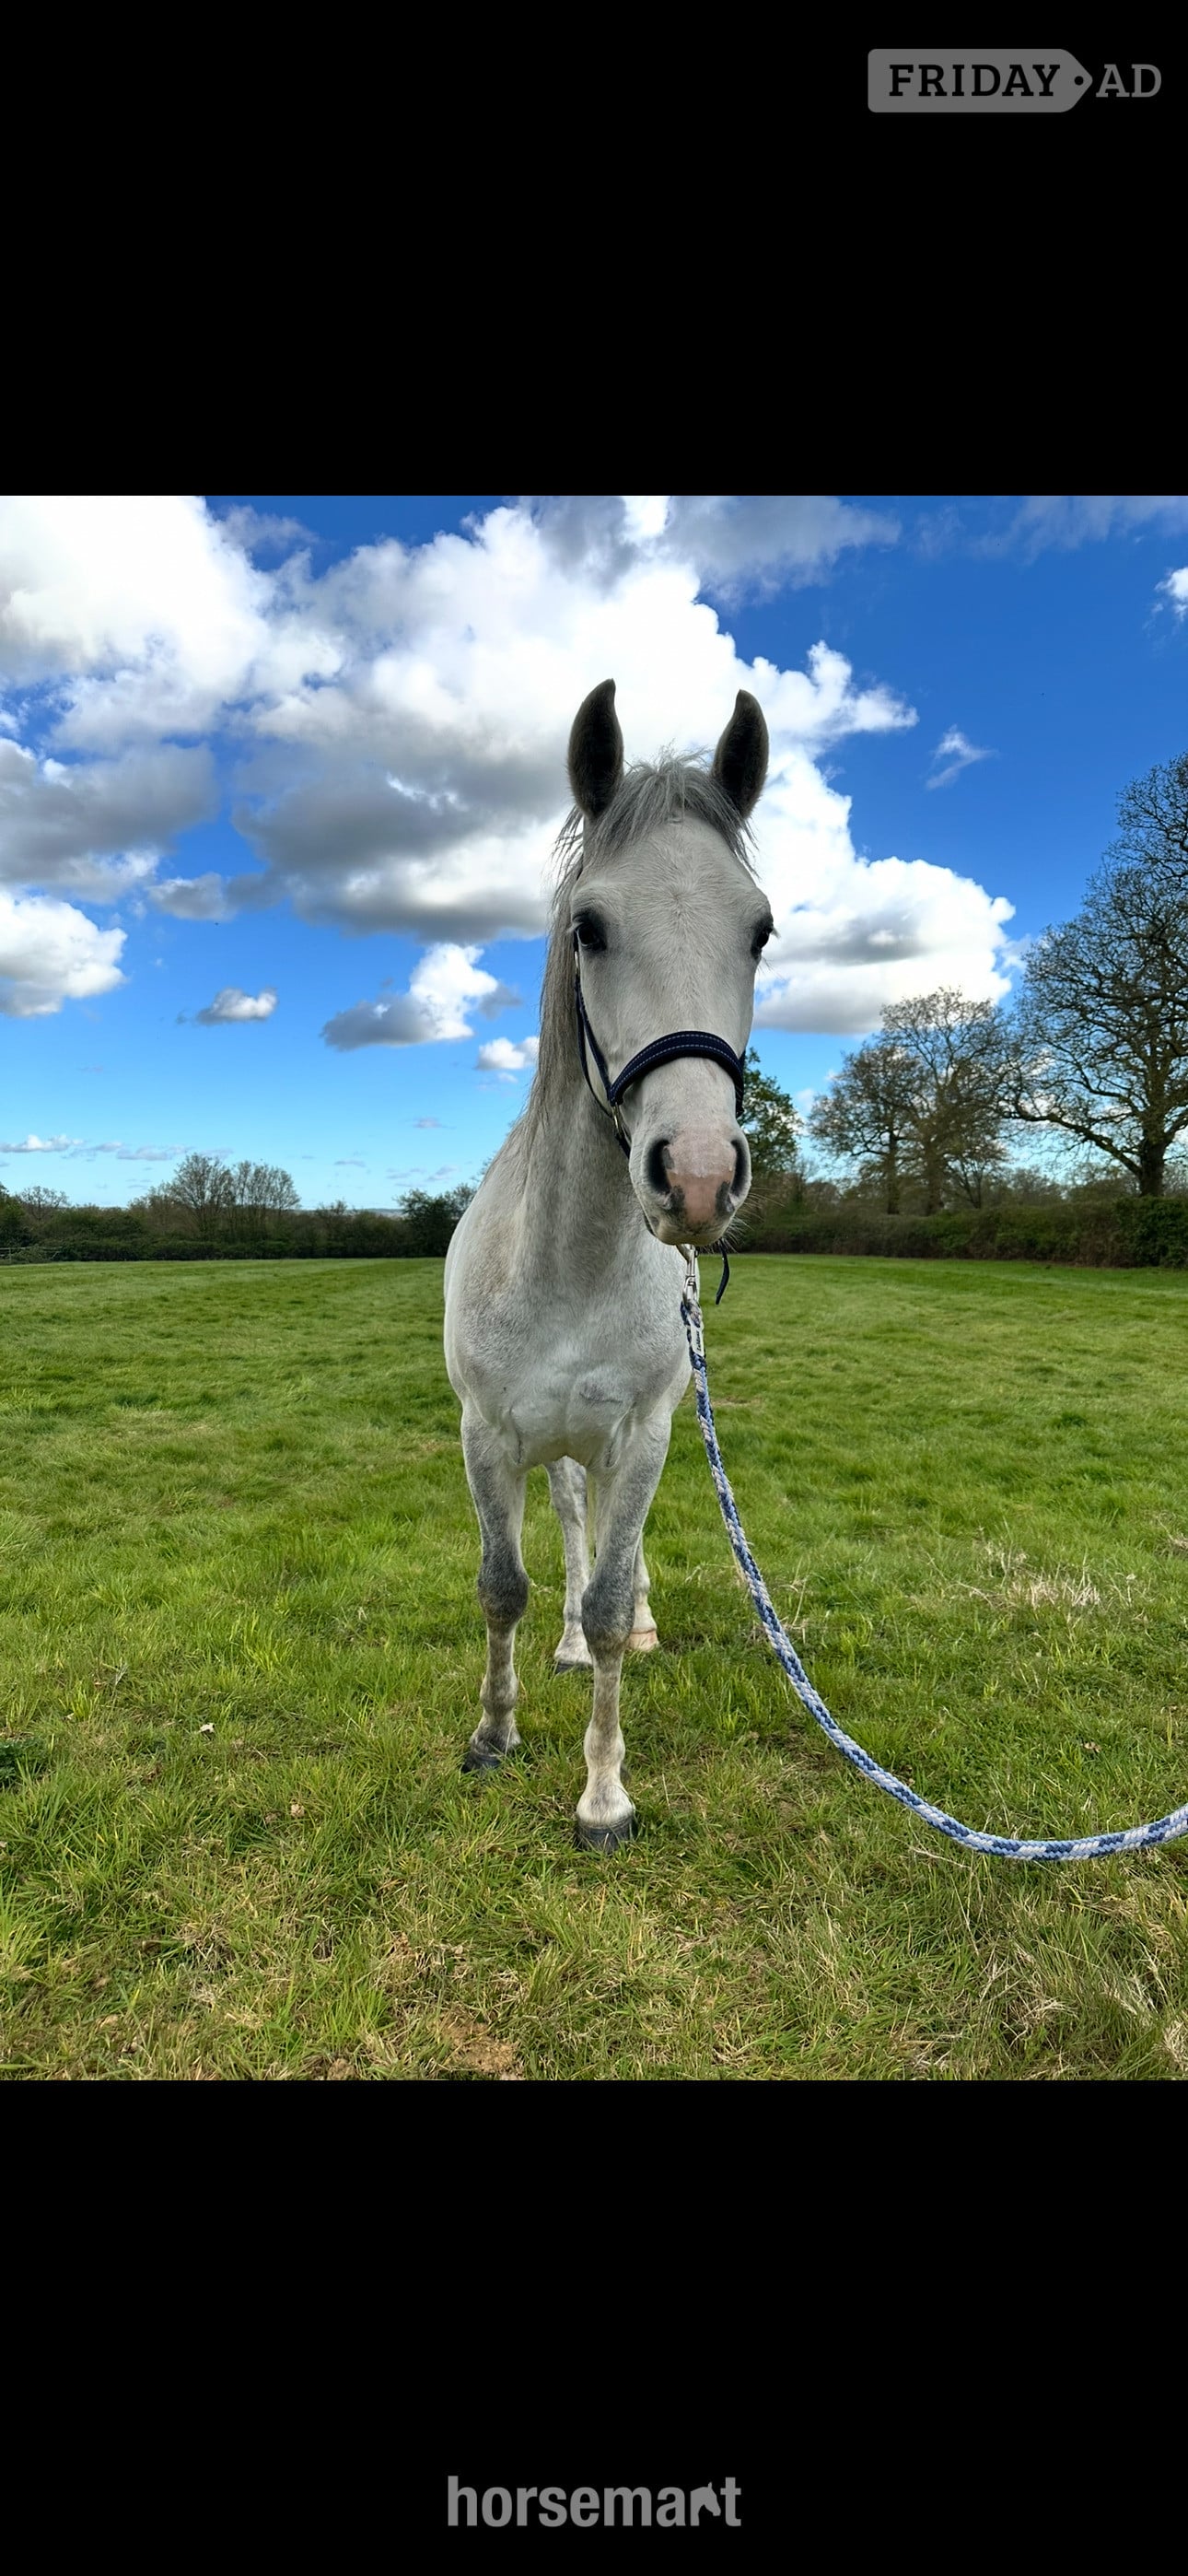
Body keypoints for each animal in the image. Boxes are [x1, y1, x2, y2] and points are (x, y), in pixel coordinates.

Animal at [443, 678, 772, 1848]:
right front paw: (493, 1736)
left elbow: (611, 1584)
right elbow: (505, 1584)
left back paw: (626, 1635)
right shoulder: (486, 1435)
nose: (700, 1175)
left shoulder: (643, 1437)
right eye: (590, 926)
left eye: (759, 931)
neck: (568, 1266)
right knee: (568, 1522)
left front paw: (602, 1794)